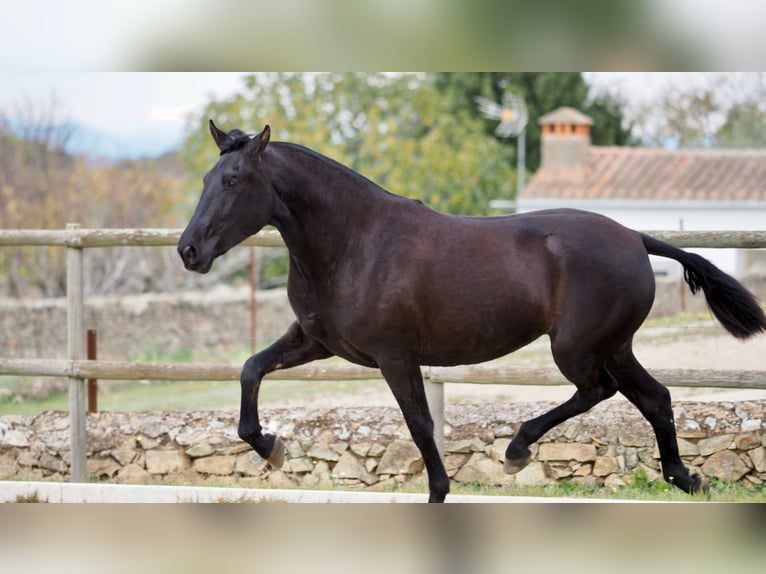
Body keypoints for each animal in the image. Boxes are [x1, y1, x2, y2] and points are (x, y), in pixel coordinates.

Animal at [182, 122, 766, 504]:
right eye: (206, 179)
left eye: (232, 181)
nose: (189, 251)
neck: (354, 243)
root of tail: (635, 238)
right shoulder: (317, 342)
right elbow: (251, 369)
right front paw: (271, 448)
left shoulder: (396, 357)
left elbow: (420, 426)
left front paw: (440, 492)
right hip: (615, 346)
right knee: (655, 398)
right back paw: (686, 478)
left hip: (576, 347)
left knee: (597, 391)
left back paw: (518, 449)